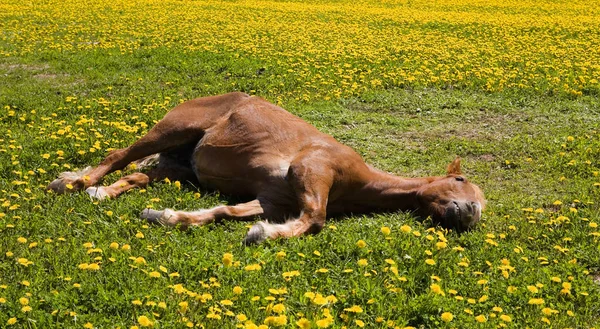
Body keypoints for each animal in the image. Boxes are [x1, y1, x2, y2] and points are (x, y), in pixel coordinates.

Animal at [48, 91, 488, 242]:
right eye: (460, 178)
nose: (470, 212)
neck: (356, 181)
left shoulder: (271, 199)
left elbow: (222, 212)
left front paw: (165, 216)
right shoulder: (312, 169)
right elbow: (315, 219)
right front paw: (263, 235)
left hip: (176, 167)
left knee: (135, 174)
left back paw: (99, 191)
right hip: (170, 130)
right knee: (117, 156)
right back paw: (74, 184)